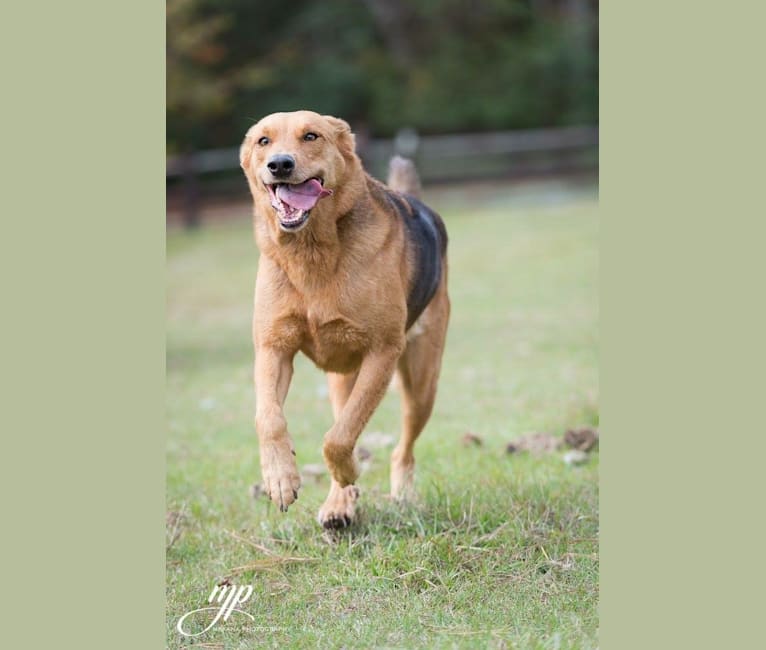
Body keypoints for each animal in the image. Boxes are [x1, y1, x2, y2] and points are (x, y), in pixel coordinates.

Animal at [237, 110, 448, 528]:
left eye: (311, 136)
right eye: (263, 141)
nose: (280, 165)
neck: (311, 252)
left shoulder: (382, 353)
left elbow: (339, 439)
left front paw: (348, 471)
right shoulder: (272, 349)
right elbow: (269, 419)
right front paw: (280, 479)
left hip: (421, 384)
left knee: (400, 446)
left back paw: (396, 492)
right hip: (342, 381)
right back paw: (339, 504)